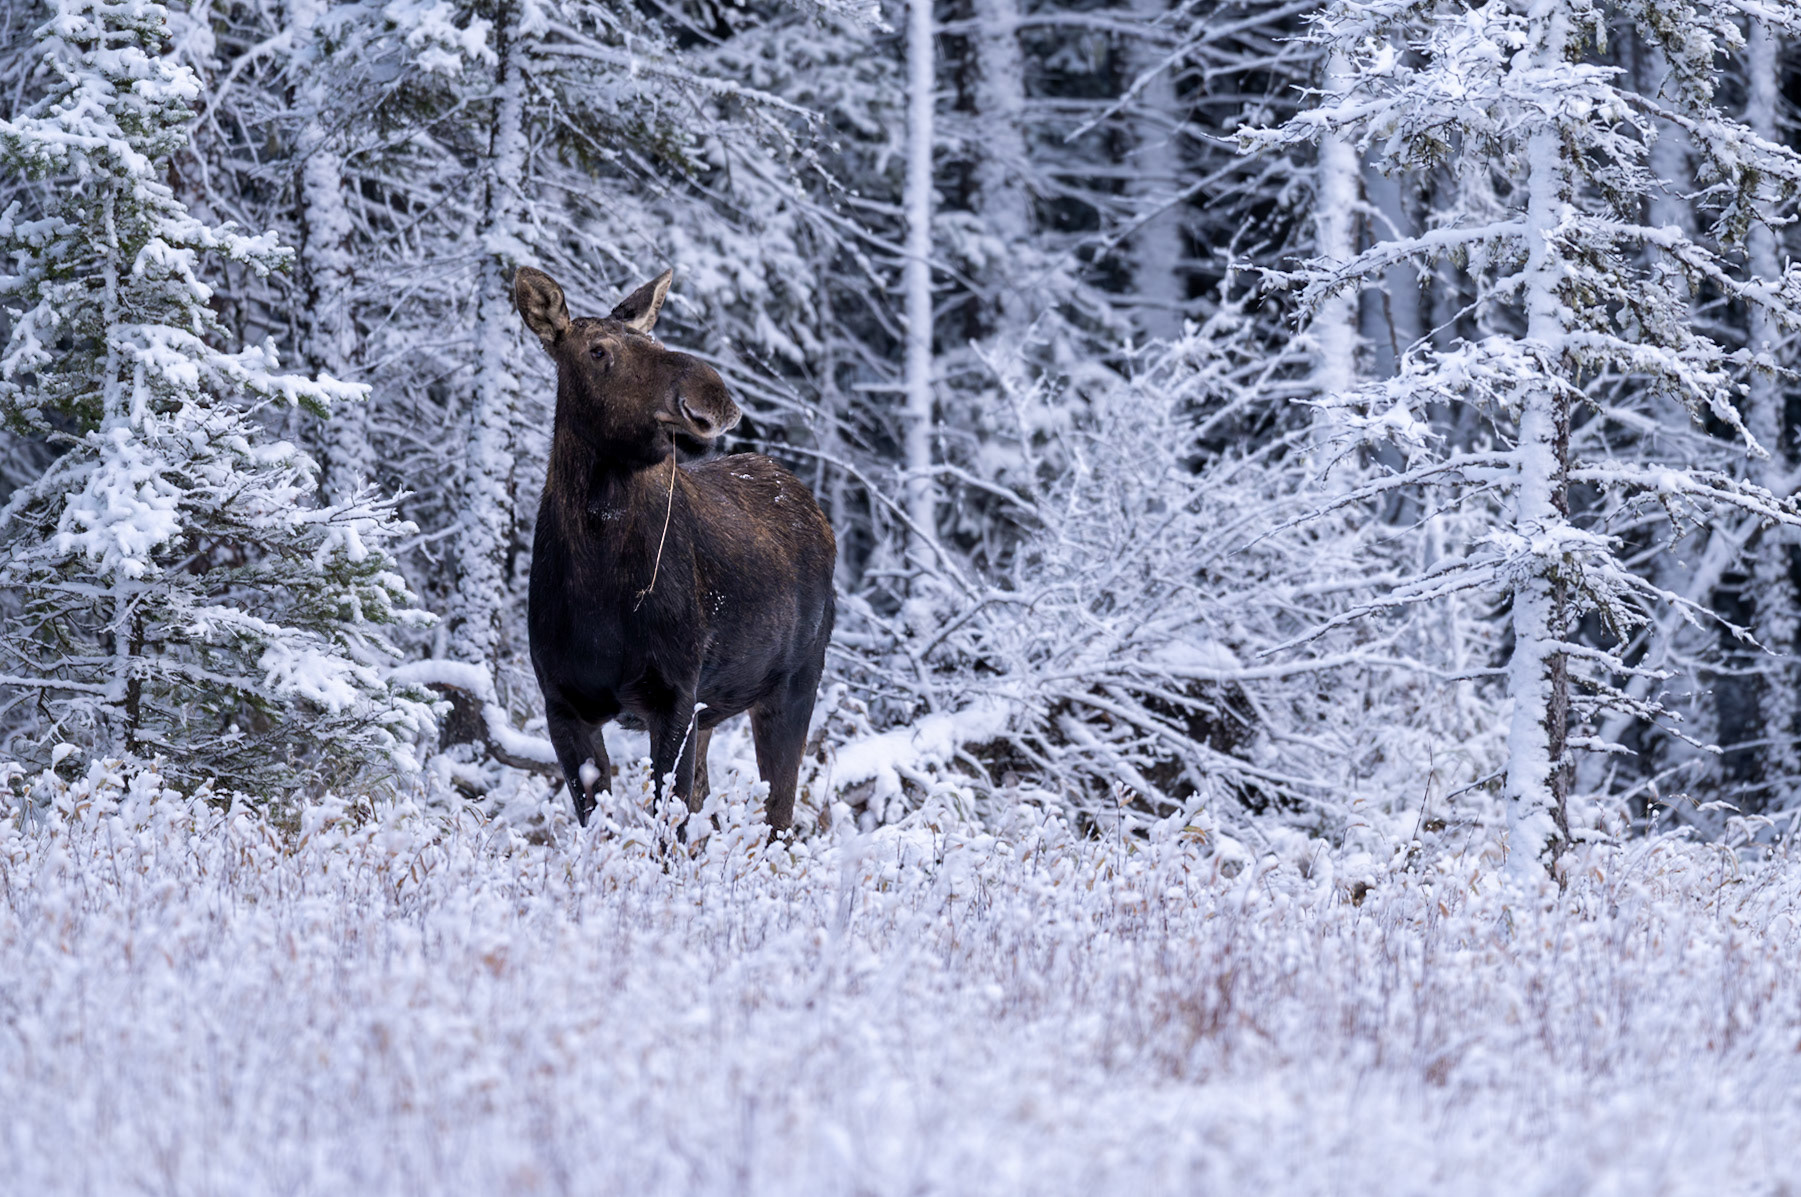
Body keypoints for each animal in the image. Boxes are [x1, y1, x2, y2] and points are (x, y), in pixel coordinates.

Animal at [513, 265, 836, 837]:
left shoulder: (674, 695)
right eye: (598, 351)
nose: (712, 393)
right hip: (716, 709)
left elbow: (668, 828)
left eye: (655, 339)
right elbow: (598, 823)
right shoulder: (562, 701)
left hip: (795, 682)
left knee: (779, 819)